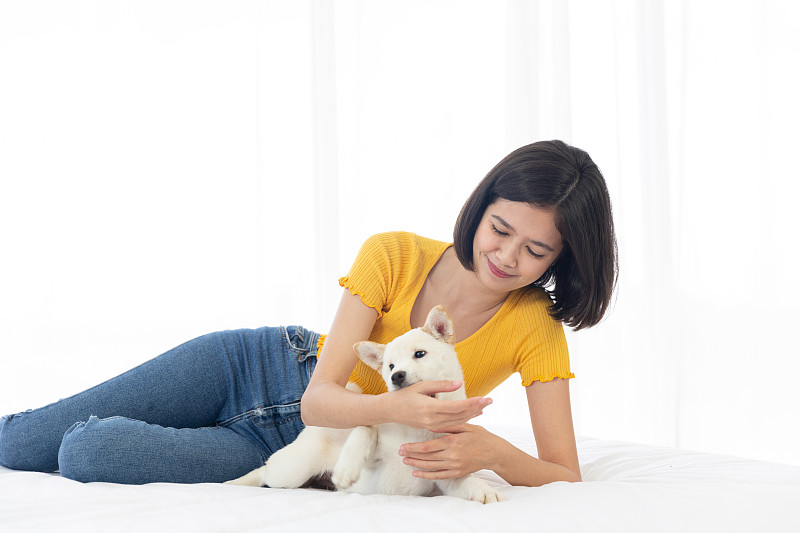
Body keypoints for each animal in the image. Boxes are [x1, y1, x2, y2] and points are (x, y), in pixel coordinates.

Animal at [225, 306, 500, 500]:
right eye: (390, 366)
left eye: (420, 354)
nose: (397, 376)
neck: (416, 432)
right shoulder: (372, 463)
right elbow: (366, 429)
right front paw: (346, 469)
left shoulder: (442, 477)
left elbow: (463, 480)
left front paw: (482, 488)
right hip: (292, 470)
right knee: (265, 470)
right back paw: (236, 482)